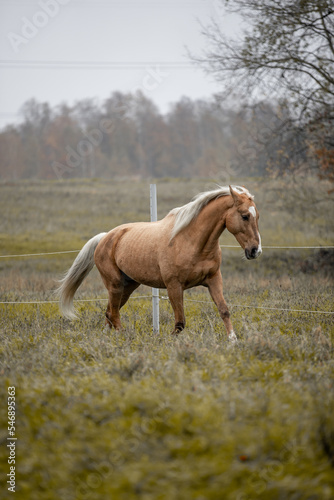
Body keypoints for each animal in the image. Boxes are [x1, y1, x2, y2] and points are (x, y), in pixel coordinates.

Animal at [56, 186, 260, 342]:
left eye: (257, 216)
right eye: (244, 216)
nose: (255, 251)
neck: (191, 241)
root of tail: (105, 237)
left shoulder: (214, 279)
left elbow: (224, 310)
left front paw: (233, 340)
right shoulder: (174, 286)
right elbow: (180, 323)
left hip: (127, 287)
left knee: (109, 313)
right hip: (114, 285)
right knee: (113, 314)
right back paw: (123, 338)